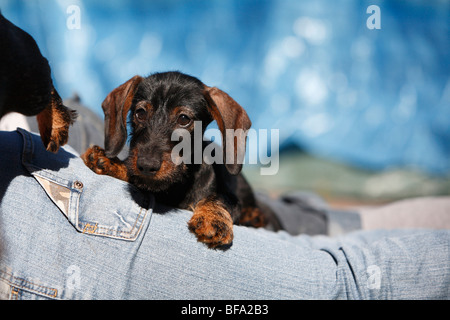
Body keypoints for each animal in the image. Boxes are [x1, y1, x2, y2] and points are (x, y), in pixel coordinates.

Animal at [80, 72, 278, 248]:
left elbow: (218, 198)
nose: (147, 165)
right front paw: (110, 163)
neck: (178, 185)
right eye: (140, 113)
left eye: (183, 119)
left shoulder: (231, 199)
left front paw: (213, 218)